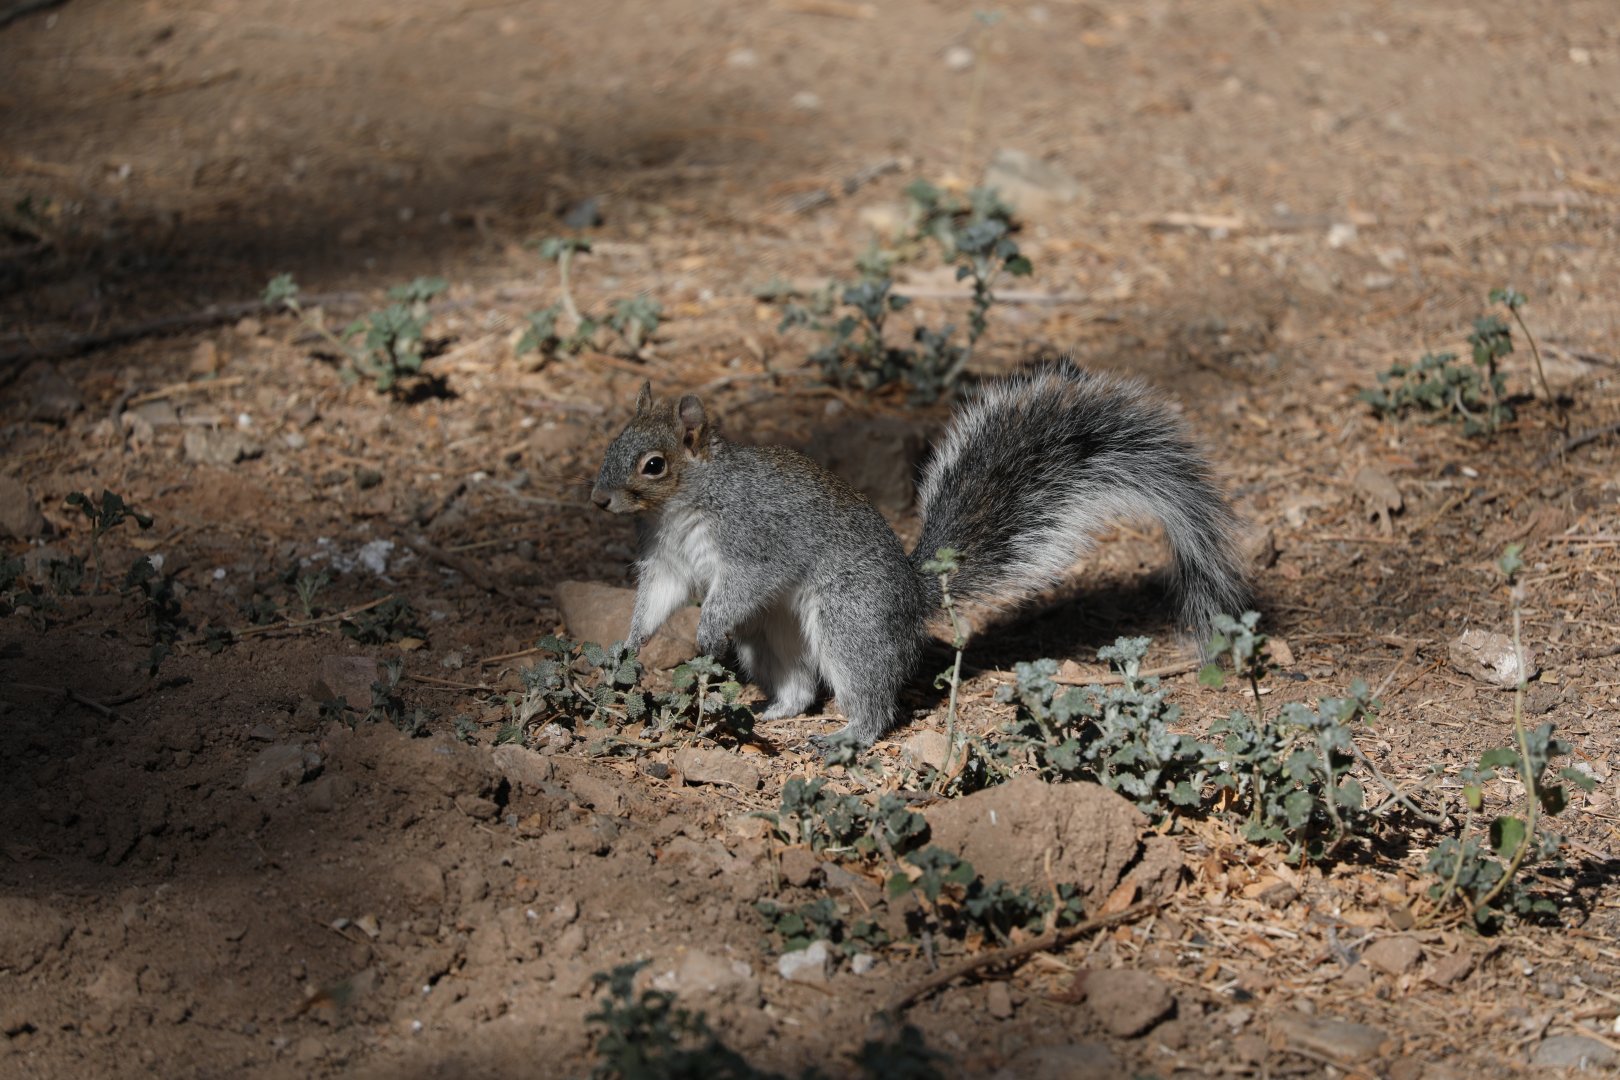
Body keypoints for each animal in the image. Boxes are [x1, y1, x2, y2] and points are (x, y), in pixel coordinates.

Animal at [589, 360, 1251, 748]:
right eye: (612, 442)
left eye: (654, 464)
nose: (597, 499)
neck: (683, 505)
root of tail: (911, 595)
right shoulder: (668, 562)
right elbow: (658, 600)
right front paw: (628, 645)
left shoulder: (755, 540)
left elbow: (746, 580)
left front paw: (704, 633)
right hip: (774, 638)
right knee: (800, 686)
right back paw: (776, 712)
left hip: (849, 620)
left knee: (872, 697)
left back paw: (850, 735)